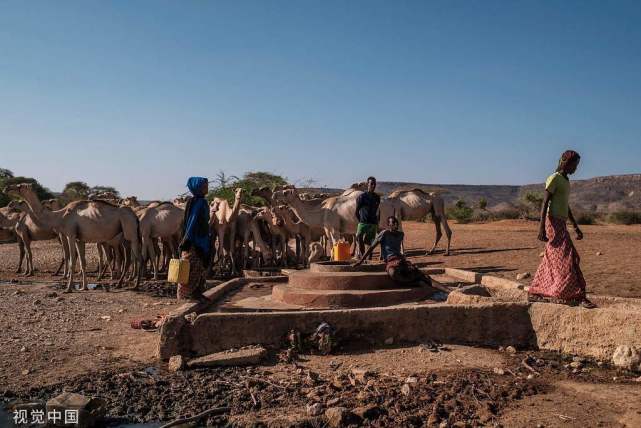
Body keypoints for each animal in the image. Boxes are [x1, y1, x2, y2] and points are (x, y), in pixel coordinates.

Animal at [5, 184, 142, 290]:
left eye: (20, 186)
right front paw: (83, 287)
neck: (59, 216)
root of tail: (135, 216)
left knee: (138, 258)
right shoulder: (78, 239)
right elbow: (82, 262)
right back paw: (120, 284)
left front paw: (69, 288)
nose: (7, 188)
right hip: (125, 237)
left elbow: (72, 260)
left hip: (131, 232)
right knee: (129, 258)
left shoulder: (70, 235)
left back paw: (135, 285)